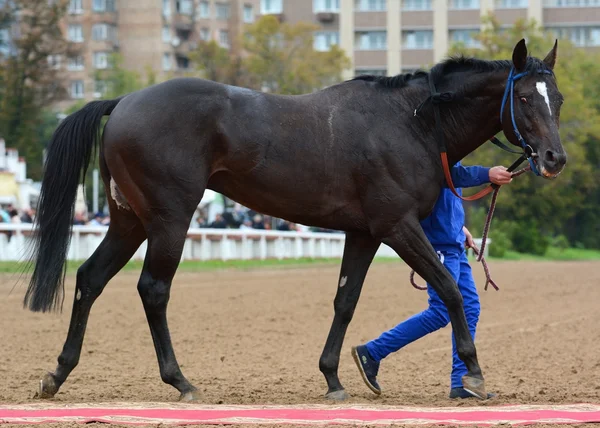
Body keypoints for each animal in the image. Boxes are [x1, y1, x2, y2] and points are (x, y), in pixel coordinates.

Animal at [24, 39, 568, 402]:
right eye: (524, 98)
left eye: (556, 99)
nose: (554, 158)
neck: (411, 120)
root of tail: (124, 102)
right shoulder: (397, 226)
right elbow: (450, 290)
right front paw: (474, 373)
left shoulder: (363, 233)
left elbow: (345, 302)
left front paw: (333, 377)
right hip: (169, 219)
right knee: (153, 290)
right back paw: (180, 381)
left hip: (128, 220)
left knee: (90, 278)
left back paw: (57, 374)